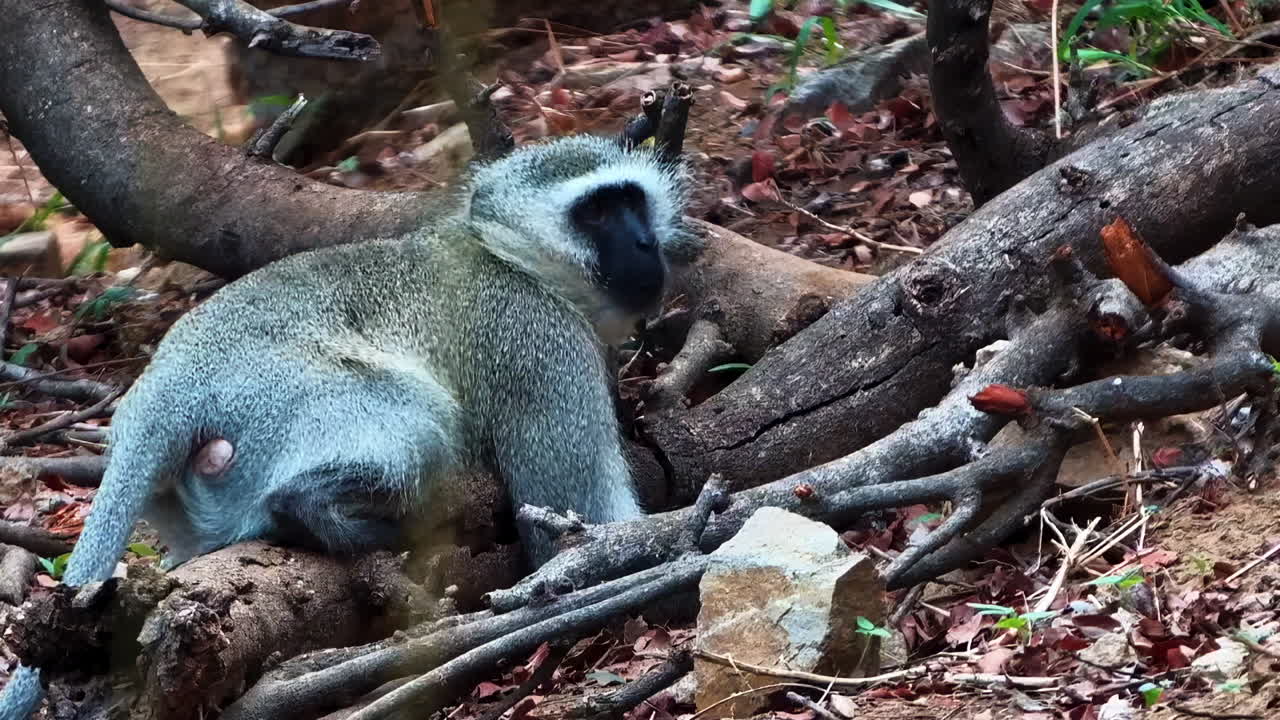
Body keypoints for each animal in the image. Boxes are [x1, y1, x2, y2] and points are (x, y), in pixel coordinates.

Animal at [0, 132, 693, 719]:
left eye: (631, 201)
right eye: (595, 214)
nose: (644, 245)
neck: (508, 256)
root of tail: (166, 388)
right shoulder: (538, 342)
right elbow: (573, 532)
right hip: (290, 398)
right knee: (417, 420)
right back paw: (322, 511)